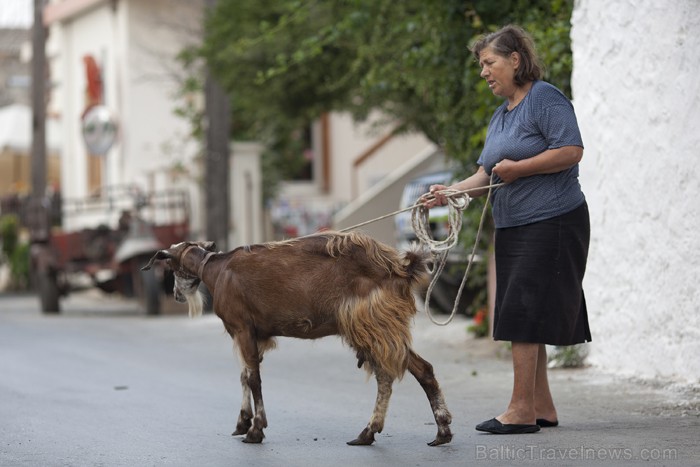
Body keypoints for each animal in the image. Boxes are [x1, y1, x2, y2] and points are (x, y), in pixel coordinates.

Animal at [142, 232, 454, 448]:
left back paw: (380, 430)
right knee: (413, 371)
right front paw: (242, 422)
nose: (176, 295)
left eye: (170, 267)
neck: (217, 270)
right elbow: (244, 375)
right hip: (375, 325)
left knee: (394, 374)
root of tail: (400, 268)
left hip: (371, 322)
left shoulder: (242, 328)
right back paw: (428, 432)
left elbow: (253, 378)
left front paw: (256, 430)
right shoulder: (251, 333)